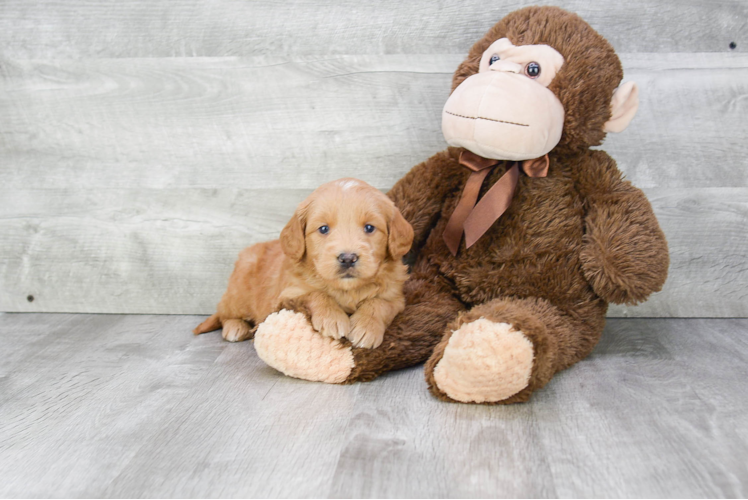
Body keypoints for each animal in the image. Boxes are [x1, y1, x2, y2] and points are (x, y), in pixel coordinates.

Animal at [193, 179, 412, 348]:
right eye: (323, 229)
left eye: (369, 228)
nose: (348, 258)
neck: (346, 289)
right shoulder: (288, 293)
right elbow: (316, 294)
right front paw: (332, 319)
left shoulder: (396, 298)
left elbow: (379, 303)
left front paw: (366, 327)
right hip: (238, 293)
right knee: (224, 313)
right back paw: (235, 327)